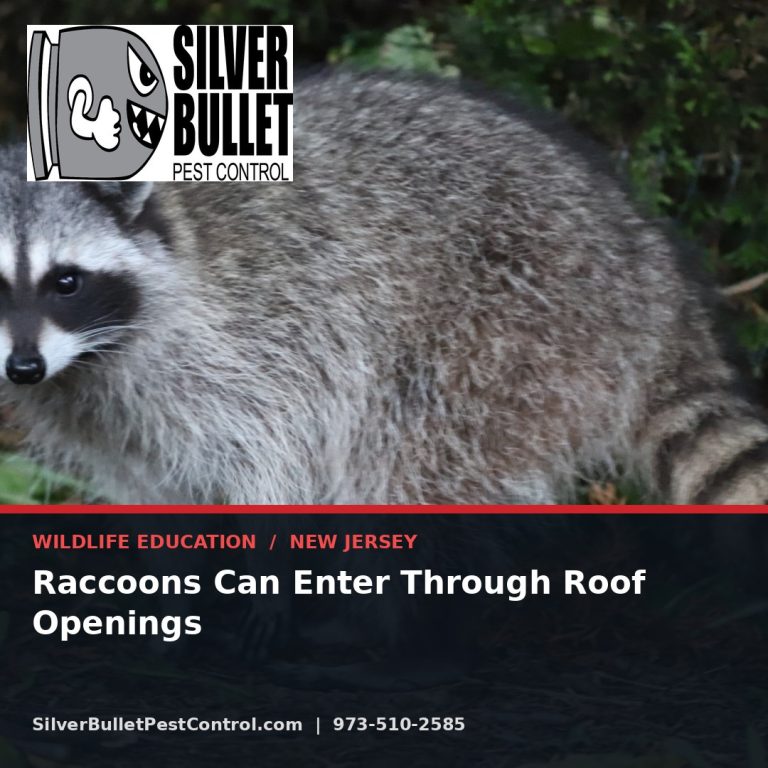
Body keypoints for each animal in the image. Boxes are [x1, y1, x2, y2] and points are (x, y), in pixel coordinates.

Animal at [0, 70, 767, 506]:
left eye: (65, 281)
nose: (24, 367)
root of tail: (647, 261)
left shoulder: (255, 354)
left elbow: (273, 468)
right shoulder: (123, 429)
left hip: (508, 335)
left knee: (420, 466)